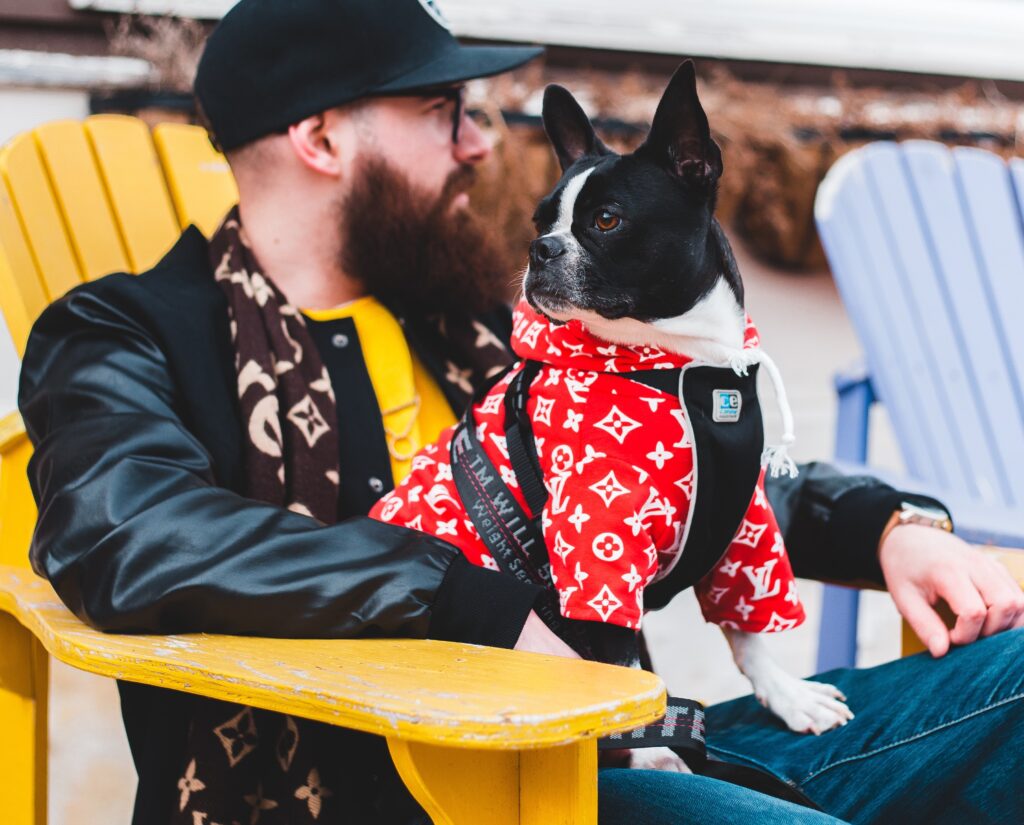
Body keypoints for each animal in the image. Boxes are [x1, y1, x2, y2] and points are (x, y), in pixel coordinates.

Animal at [372, 61, 851, 773]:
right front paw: (650, 751)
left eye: (605, 220)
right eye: (538, 219)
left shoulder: (746, 530)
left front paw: (789, 696)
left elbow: (748, 627)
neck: (687, 369)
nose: (540, 247)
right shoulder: (597, 540)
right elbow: (620, 665)